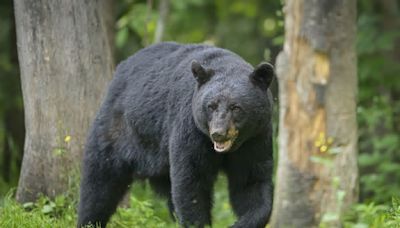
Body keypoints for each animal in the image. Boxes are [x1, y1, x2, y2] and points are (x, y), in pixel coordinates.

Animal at [76, 41, 274, 227]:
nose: (218, 133)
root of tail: (120, 69)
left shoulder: (255, 138)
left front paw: (241, 222)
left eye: (236, 107)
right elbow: (191, 181)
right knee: (99, 183)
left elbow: (251, 182)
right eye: (211, 106)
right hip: (117, 131)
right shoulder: (191, 128)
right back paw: (89, 220)